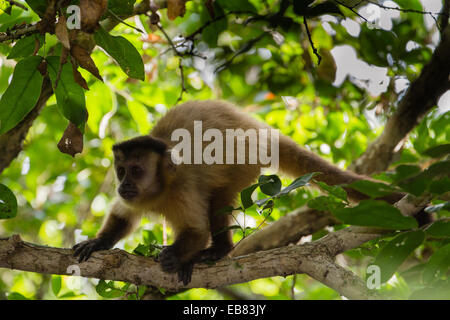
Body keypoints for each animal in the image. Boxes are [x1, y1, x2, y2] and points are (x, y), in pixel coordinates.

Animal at [73, 100, 404, 284]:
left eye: (137, 171)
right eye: (121, 171)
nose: (124, 184)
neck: (160, 189)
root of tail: (257, 127)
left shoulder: (182, 188)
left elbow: (196, 231)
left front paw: (176, 257)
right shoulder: (135, 198)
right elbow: (122, 216)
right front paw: (98, 243)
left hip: (246, 159)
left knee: (219, 198)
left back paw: (216, 251)